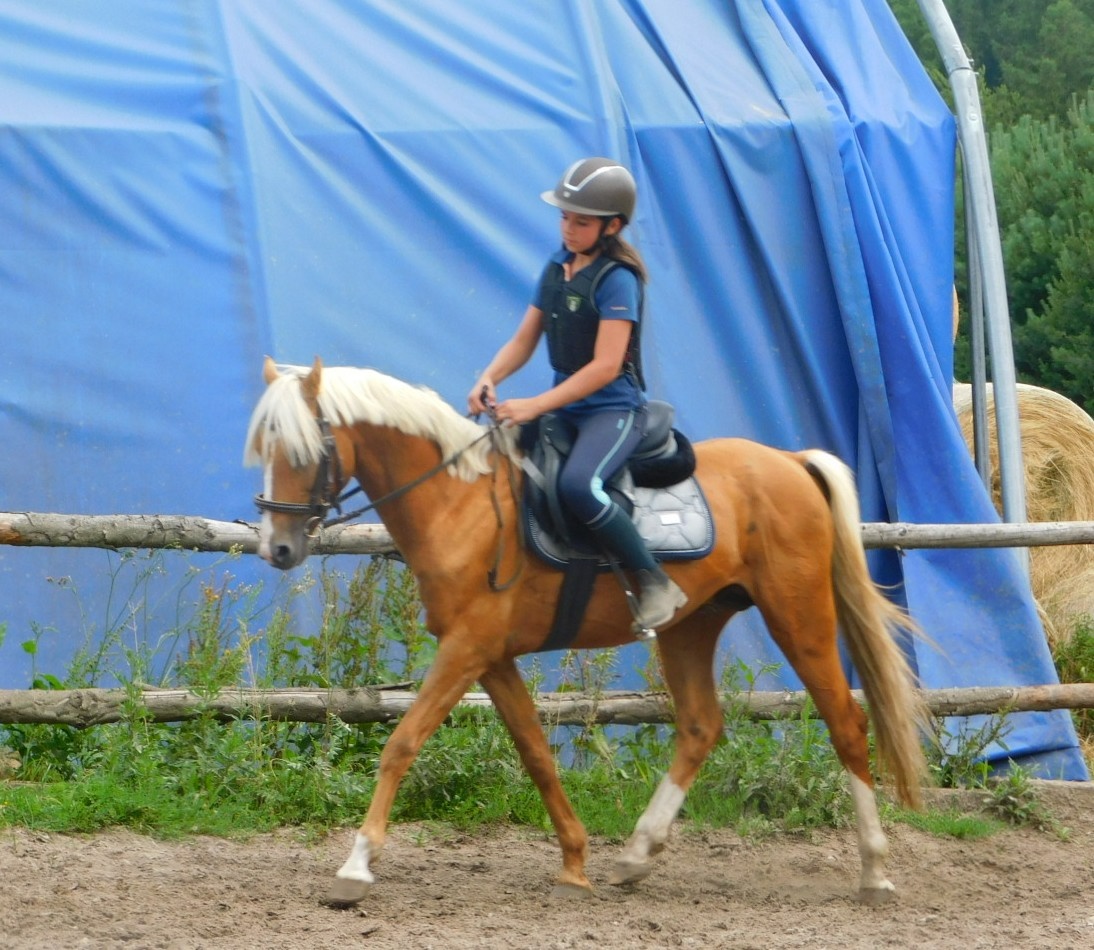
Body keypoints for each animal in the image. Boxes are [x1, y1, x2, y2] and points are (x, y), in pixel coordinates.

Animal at [244, 356, 931, 907]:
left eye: (302, 450)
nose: (276, 548)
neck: (458, 504)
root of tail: (789, 460)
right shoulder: (491, 656)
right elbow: (536, 754)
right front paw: (576, 863)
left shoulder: (465, 649)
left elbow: (402, 743)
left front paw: (356, 866)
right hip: (692, 625)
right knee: (701, 727)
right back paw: (636, 854)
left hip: (799, 615)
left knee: (846, 723)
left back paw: (875, 873)